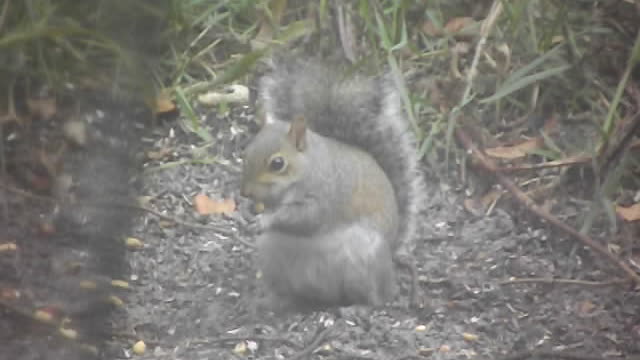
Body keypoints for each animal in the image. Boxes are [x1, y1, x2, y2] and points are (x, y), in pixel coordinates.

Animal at [240, 57, 424, 310]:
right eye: (246, 151)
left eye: (277, 163)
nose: (245, 192)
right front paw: (248, 210)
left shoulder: (325, 195)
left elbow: (305, 218)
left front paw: (265, 219)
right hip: (272, 260)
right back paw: (274, 301)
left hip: (363, 263)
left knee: (375, 297)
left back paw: (357, 308)